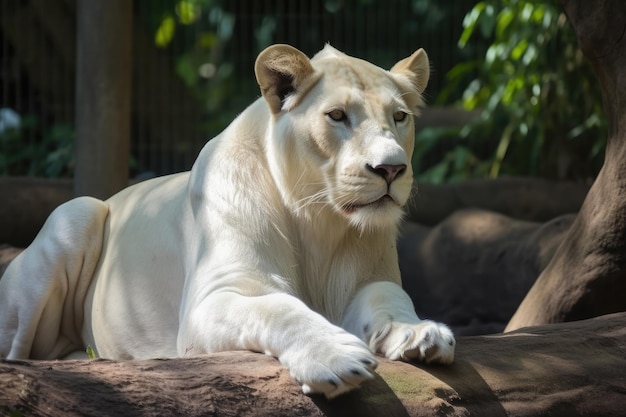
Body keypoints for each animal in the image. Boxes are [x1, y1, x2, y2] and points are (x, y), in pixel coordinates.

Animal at [2, 44, 456, 398]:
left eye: (399, 117)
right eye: (338, 115)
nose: (391, 169)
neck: (319, 218)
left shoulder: (369, 279)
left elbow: (390, 298)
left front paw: (419, 333)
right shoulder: (212, 298)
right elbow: (279, 308)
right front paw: (334, 358)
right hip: (75, 213)